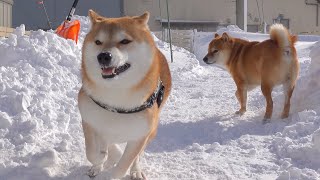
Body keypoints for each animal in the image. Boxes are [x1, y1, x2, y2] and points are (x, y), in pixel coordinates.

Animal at [78, 10, 171, 180]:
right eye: (98, 42)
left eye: (125, 41)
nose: (103, 56)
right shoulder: (89, 121)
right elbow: (92, 153)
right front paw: (101, 159)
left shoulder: (140, 135)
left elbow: (124, 165)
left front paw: (114, 171)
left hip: (151, 130)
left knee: (137, 157)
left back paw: (136, 171)